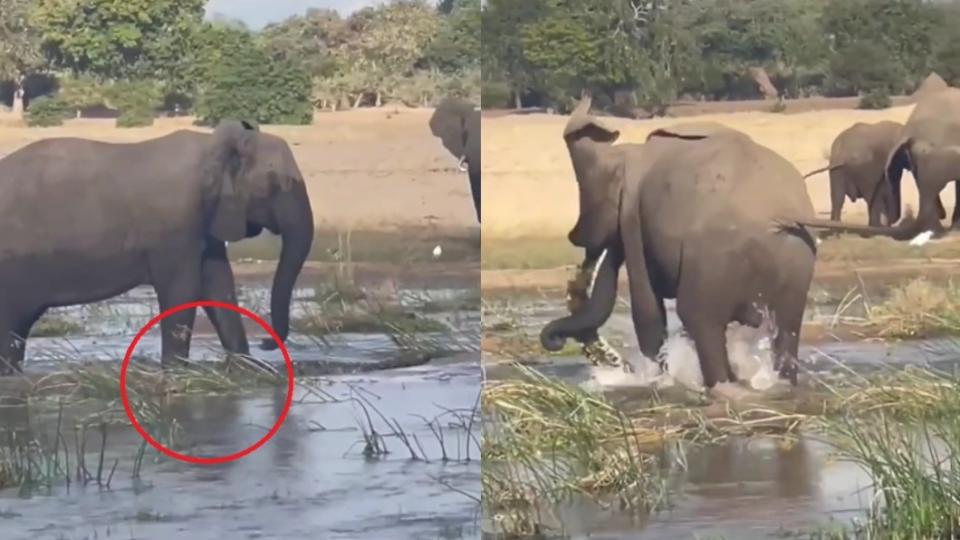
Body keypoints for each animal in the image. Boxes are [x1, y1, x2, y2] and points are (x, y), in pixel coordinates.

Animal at [0, 119, 316, 372]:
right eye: (278, 183)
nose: (265, 341)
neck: (211, 145)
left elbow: (218, 284)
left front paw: (248, 369)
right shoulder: (176, 224)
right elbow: (183, 289)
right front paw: (175, 372)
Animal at [540, 97, 908, 390]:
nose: (553, 340)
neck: (624, 153)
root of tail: (779, 214)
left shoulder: (631, 214)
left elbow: (647, 312)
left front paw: (660, 381)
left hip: (716, 259)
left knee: (701, 320)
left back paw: (721, 387)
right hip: (796, 257)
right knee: (787, 326)